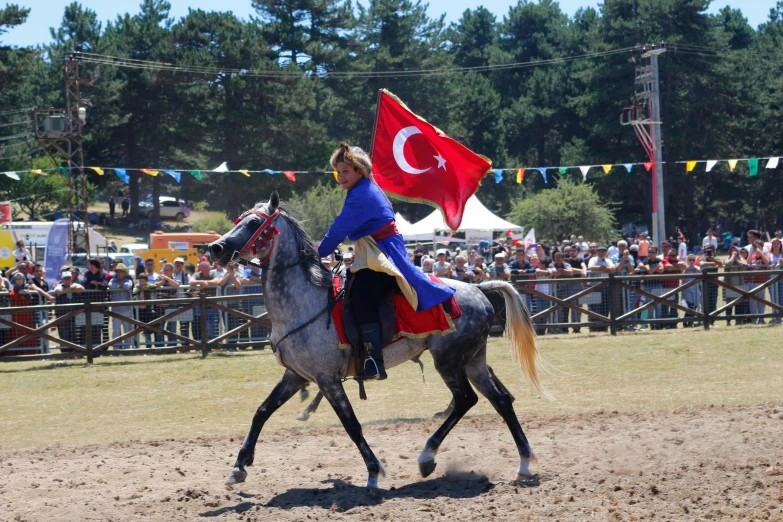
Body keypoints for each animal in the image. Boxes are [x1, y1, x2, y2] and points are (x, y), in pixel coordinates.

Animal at [211, 192, 548, 488]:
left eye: (254, 223)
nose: (215, 248)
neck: (304, 302)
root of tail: (478, 289)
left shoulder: (326, 379)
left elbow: (351, 424)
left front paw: (374, 471)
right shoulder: (295, 376)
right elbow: (262, 412)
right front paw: (239, 466)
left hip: (449, 361)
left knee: (466, 399)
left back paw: (427, 457)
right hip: (473, 361)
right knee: (500, 400)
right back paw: (524, 463)